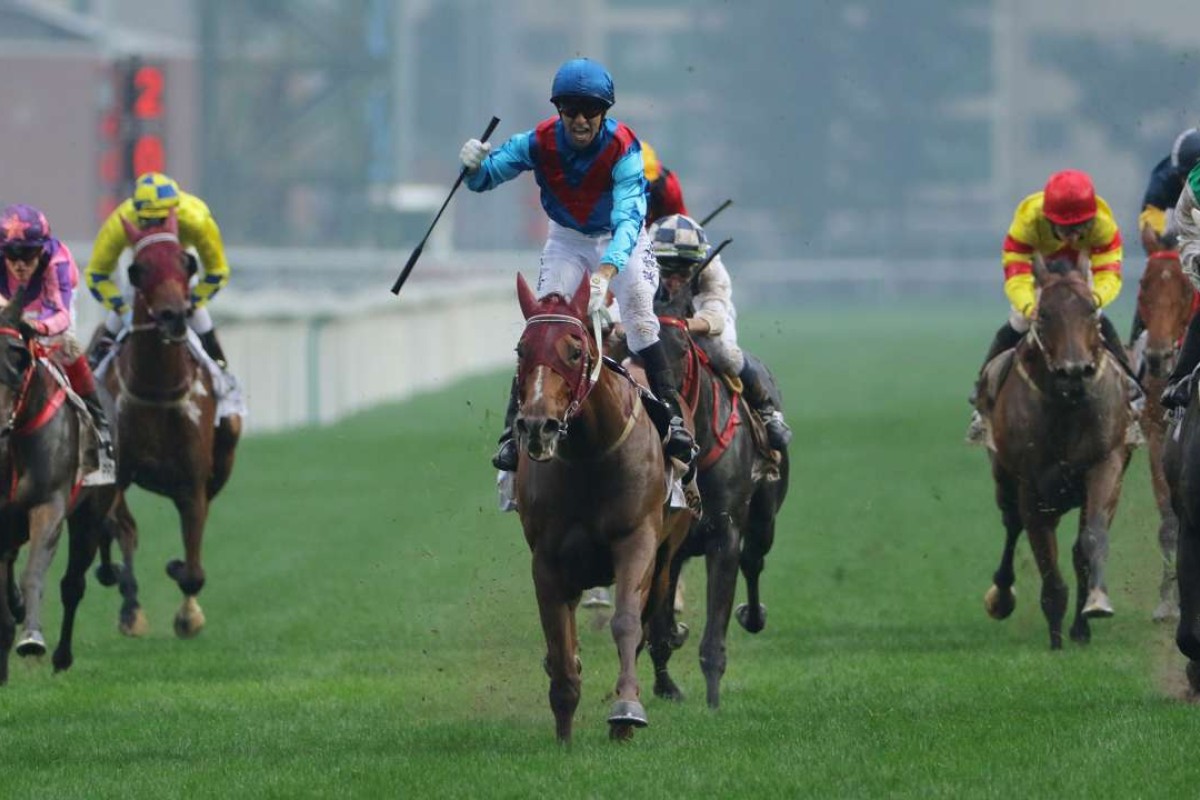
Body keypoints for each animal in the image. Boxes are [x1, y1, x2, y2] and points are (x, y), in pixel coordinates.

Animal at [97, 211, 241, 638]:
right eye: (137, 269)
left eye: (186, 262)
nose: (174, 316)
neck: (157, 390)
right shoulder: (117, 473)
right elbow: (124, 529)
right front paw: (130, 609)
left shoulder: (192, 481)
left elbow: (193, 566)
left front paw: (187, 609)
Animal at [511, 275, 691, 743]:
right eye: (521, 350)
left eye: (574, 350)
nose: (537, 426)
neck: (588, 453)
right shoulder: (547, 557)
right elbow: (557, 636)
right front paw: (564, 721)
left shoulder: (637, 541)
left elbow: (627, 621)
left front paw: (626, 711)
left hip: (668, 551)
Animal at [643, 280, 792, 705]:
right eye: (631, 348)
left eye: (681, 347)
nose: (663, 403)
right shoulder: (660, 539)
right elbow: (656, 625)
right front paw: (667, 686)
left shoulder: (724, 531)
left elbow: (714, 632)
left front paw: (712, 702)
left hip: (765, 517)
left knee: (753, 560)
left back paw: (753, 615)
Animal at [979, 256, 1128, 652]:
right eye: (1044, 314)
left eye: (1090, 309)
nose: (1074, 372)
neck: (1066, 408)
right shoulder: (1032, 485)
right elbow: (1045, 556)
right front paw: (1057, 640)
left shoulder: (1105, 463)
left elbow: (1089, 541)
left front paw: (1092, 610)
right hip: (1003, 477)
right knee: (1012, 524)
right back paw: (1001, 596)